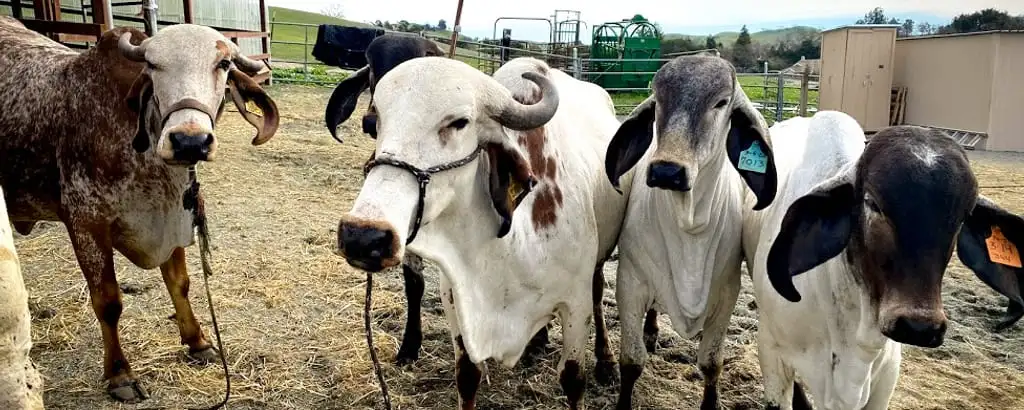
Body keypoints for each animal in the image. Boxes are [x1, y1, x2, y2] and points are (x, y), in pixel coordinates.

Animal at [0, 18, 280, 402]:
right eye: (152, 65)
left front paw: (197, 341)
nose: (189, 141)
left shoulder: (174, 214)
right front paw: (120, 374)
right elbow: (108, 302)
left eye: (223, 64)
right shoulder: (86, 223)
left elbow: (180, 284)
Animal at [335, 56, 628, 409]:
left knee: (599, 293)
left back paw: (606, 362)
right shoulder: (455, 295)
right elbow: (467, 375)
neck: (507, 245)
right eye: (376, 119)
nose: (362, 236)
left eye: (459, 122)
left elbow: (573, 379)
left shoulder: (575, 304)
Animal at [603, 54, 778, 409]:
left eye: (721, 102)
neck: (690, 225)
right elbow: (631, 361)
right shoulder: (630, 284)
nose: (667, 171)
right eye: (657, 100)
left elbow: (711, 363)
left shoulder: (727, 295)